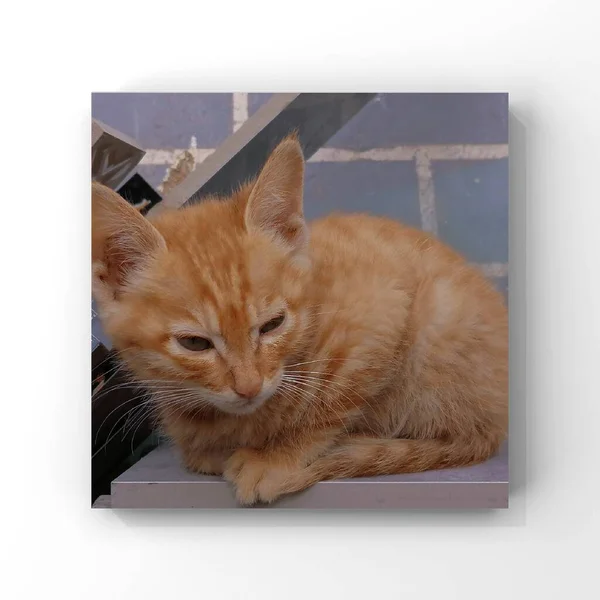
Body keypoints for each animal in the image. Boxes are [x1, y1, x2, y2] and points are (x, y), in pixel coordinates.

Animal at [92, 135, 506, 502]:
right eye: (194, 343)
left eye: (273, 325)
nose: (249, 387)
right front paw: (211, 449)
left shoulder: (381, 314)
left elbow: (330, 405)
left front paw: (276, 457)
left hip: (438, 323)